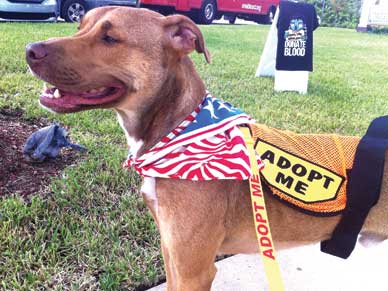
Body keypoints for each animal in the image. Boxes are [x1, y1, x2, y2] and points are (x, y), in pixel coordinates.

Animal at [26, 6, 388, 291]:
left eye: (110, 38)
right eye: (80, 27)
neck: (179, 130)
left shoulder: (194, 269)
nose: (30, 49)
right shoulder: (171, 251)